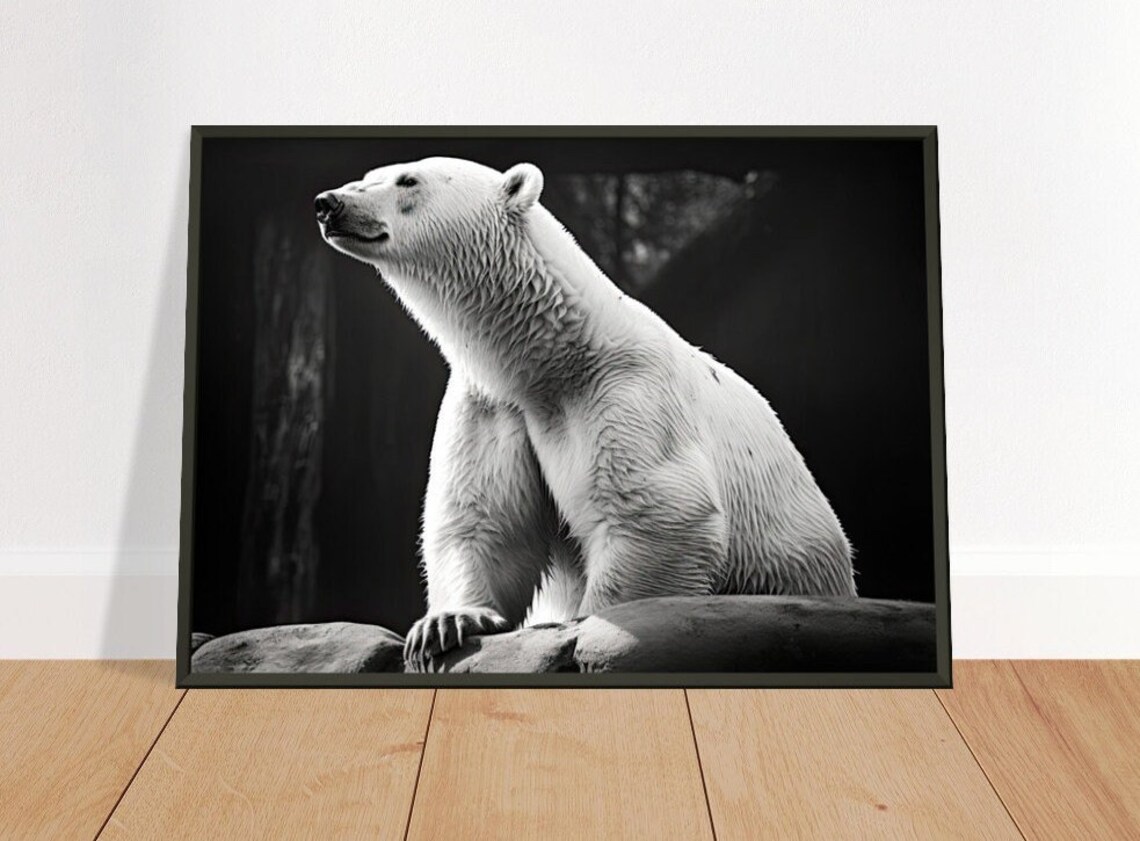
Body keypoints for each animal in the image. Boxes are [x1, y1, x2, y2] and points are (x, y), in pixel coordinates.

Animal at [315, 157, 856, 668]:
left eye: (408, 180)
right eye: (370, 174)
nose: (328, 202)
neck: (555, 353)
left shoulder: (625, 392)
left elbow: (657, 510)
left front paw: (588, 627)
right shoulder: (493, 405)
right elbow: (481, 516)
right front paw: (447, 623)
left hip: (793, 558)